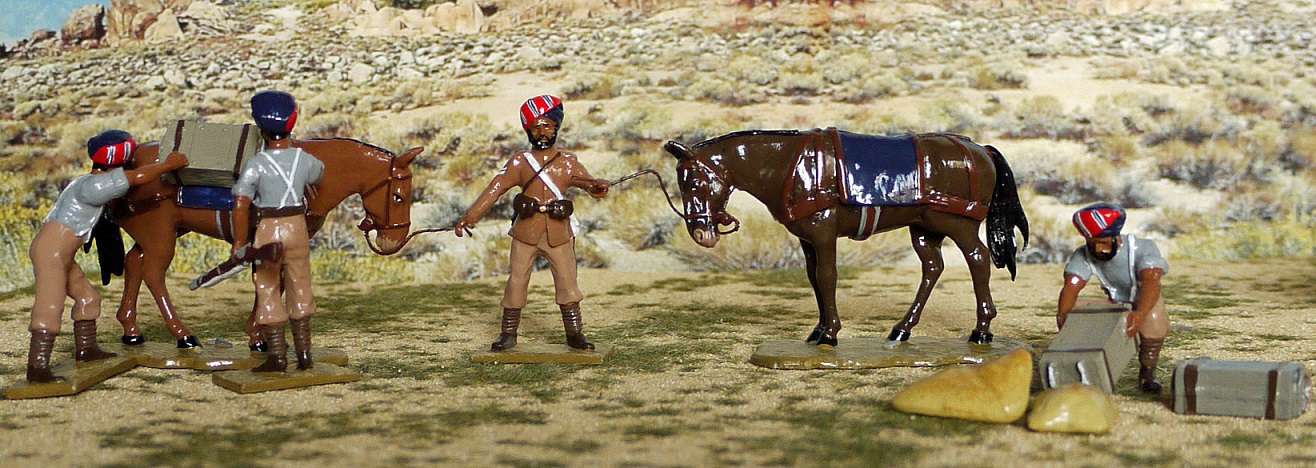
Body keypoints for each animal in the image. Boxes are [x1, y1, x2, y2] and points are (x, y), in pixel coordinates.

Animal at [115, 140, 421, 349]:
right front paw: (259, 336)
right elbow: (272, 280)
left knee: (134, 262)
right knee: (153, 274)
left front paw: (260, 334)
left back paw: (131, 329)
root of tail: (133, 163)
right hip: (161, 236)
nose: (394, 241)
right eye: (397, 196)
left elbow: (279, 281)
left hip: (157, 234)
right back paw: (183, 335)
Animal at [668, 129, 1026, 344]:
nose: (701, 233)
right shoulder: (807, 239)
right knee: (932, 268)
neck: (792, 165)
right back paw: (902, 329)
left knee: (978, 260)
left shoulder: (824, 232)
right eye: (681, 185)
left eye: (695, 182)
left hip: (957, 225)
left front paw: (830, 334)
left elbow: (827, 276)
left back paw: (981, 330)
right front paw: (818, 329)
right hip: (926, 230)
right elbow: (813, 278)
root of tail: (979, 149)